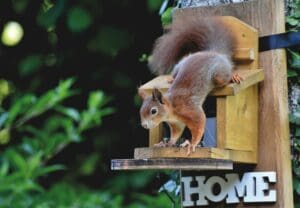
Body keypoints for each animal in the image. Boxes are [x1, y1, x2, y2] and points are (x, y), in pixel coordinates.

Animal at [139, 15, 243, 155]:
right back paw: (171, 79)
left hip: (218, 75)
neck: (171, 110)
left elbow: (199, 124)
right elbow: (176, 134)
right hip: (180, 65)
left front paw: (192, 144)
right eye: (141, 111)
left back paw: (233, 76)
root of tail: (213, 52)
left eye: (153, 111)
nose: (144, 125)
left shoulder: (189, 110)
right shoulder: (177, 124)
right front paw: (167, 143)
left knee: (225, 76)